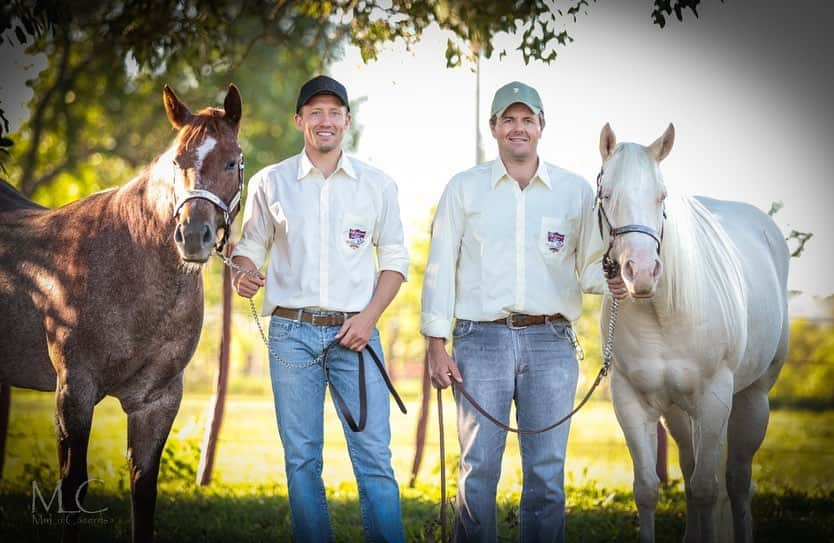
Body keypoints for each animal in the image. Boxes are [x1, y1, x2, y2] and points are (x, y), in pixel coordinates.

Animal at [1, 86, 244, 543]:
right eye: (177, 162)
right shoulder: (74, 391)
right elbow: (72, 486)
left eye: (232, 161)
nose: (193, 236)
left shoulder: (157, 401)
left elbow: (143, 488)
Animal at [592, 124, 788, 543]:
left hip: (752, 399)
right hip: (678, 413)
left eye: (661, 196)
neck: (662, 315)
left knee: (737, 482)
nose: (642, 272)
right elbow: (648, 489)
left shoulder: (714, 399)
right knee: (690, 466)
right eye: (607, 194)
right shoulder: (631, 401)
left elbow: (706, 490)